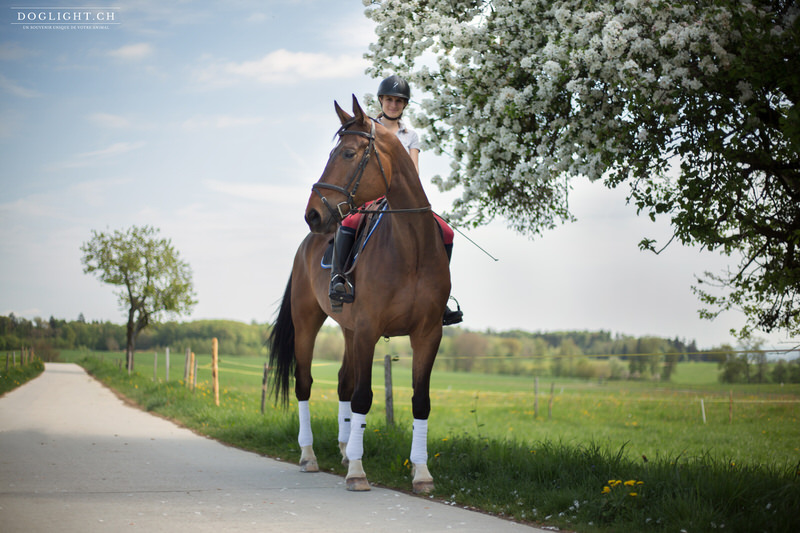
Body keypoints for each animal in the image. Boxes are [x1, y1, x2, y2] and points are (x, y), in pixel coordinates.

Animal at [268, 93, 454, 492]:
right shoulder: (370, 330)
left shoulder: (428, 333)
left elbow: (420, 401)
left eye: (349, 154)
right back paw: (309, 455)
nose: (312, 214)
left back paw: (342, 449)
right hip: (308, 323)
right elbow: (363, 397)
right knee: (305, 384)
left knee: (342, 382)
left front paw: (422, 474)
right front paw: (357, 471)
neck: (411, 248)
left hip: (349, 331)